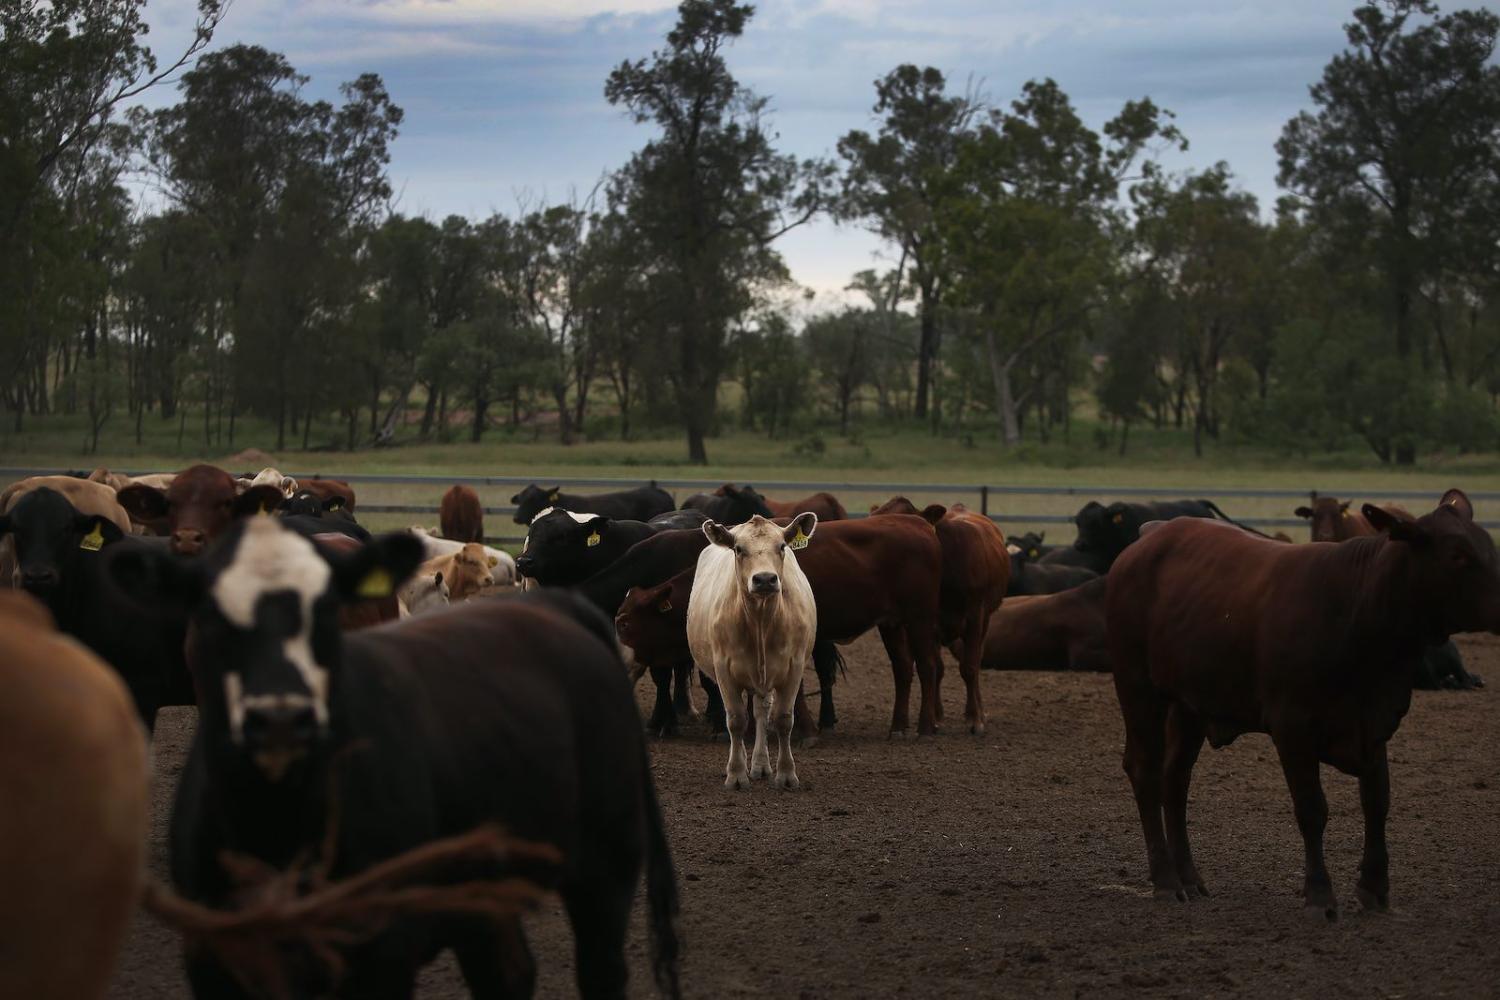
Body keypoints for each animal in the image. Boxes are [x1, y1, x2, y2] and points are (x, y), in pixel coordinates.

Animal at [688, 514, 819, 789]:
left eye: (782, 546)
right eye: (738, 549)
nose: (765, 579)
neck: (761, 620)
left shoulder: (794, 668)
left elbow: (783, 719)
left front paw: (786, 774)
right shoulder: (724, 670)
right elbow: (736, 720)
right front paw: (736, 774)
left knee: (762, 712)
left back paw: (761, 765)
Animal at [871, 498, 1009, 734]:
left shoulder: (975, 616)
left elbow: (969, 667)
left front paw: (974, 718)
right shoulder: (929, 622)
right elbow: (937, 668)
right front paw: (935, 715)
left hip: (986, 619)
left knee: (976, 661)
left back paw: (980, 710)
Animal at [1105, 490, 1500, 918]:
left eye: (1489, 549)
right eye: (1458, 556)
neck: (1356, 609)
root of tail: (1152, 534)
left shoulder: (1373, 723)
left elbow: (1376, 802)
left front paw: (1374, 888)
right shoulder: (1291, 726)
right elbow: (1312, 809)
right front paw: (1320, 894)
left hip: (1188, 704)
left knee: (1175, 779)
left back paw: (1190, 878)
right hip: (1137, 685)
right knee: (1145, 770)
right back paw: (1166, 880)